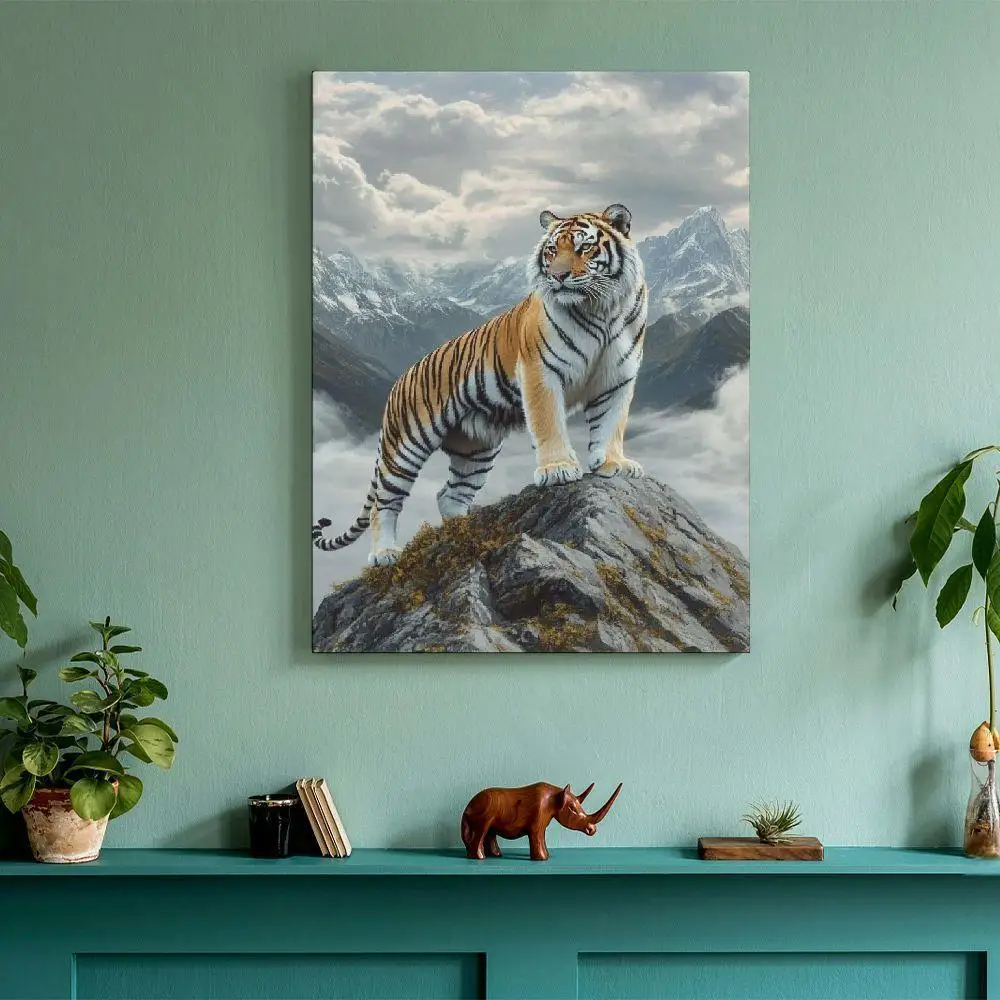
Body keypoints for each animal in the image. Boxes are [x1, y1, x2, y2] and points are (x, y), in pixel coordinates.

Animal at [312, 202, 648, 567]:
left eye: (584, 247)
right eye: (551, 251)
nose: (558, 277)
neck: (600, 308)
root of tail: (401, 377)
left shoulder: (617, 376)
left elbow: (611, 424)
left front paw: (615, 464)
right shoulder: (541, 371)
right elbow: (549, 424)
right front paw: (558, 470)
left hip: (475, 449)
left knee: (449, 494)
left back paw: (463, 531)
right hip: (406, 443)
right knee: (384, 502)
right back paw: (385, 554)